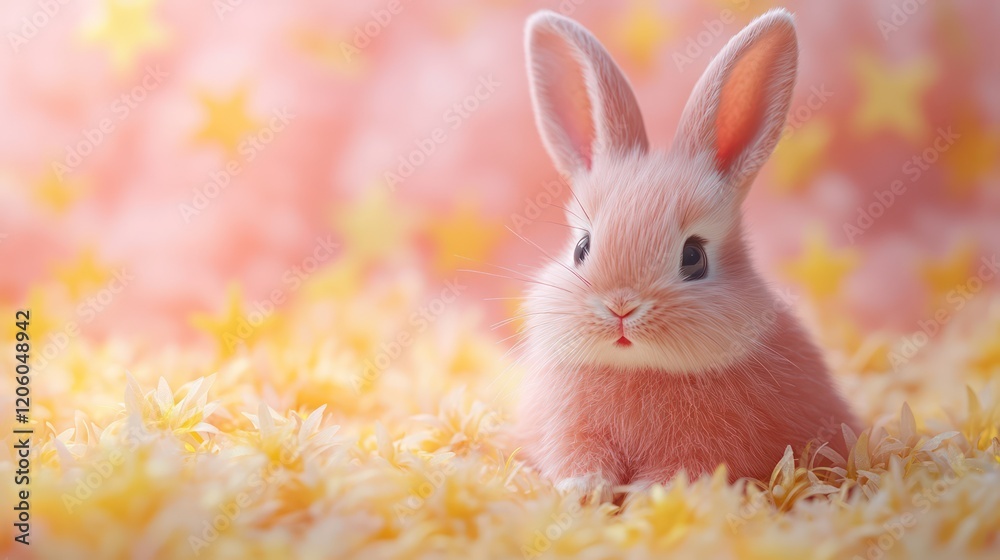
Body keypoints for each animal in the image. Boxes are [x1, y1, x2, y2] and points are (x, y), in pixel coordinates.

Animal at [516, 8, 860, 503]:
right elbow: (578, 455)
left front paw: (648, 500)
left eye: (694, 257)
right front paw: (584, 490)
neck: (640, 369)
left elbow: (680, 470)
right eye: (582, 248)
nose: (621, 307)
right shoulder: (568, 430)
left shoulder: (709, 448)